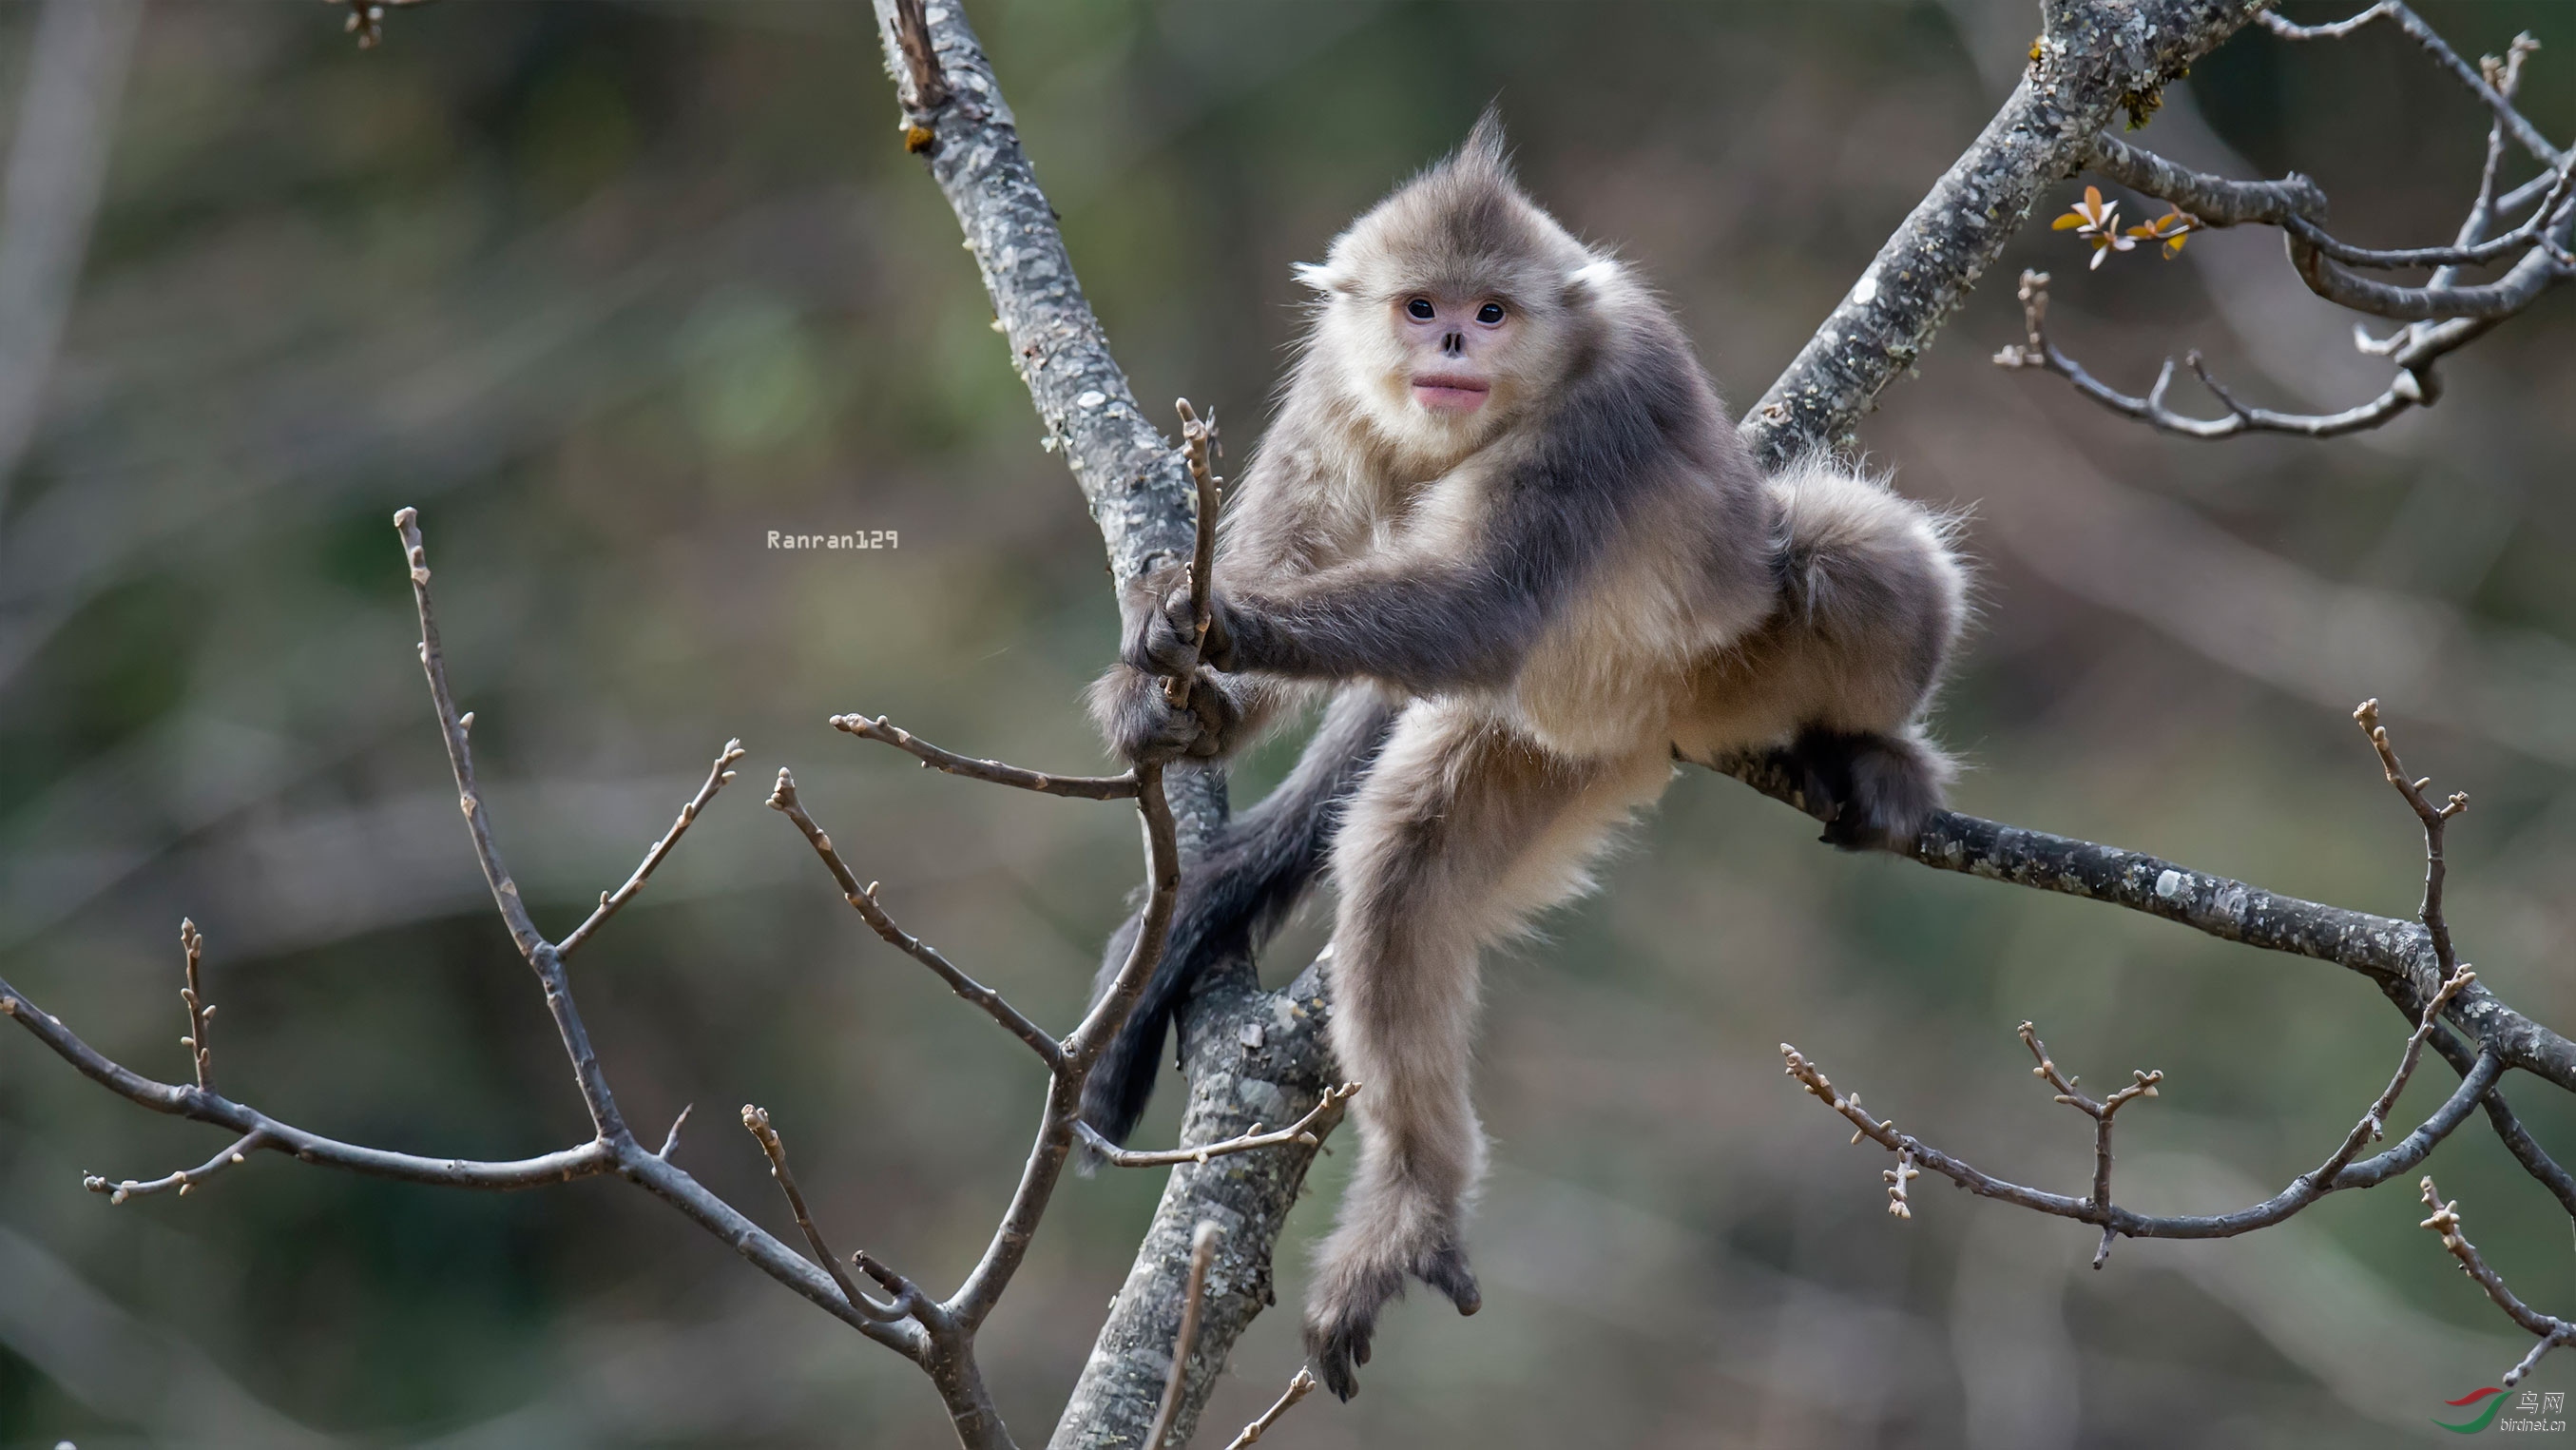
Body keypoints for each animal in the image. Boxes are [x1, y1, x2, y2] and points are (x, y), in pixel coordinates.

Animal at [1076, 107, 1957, 1401]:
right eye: (1419, 305)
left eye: (1491, 311)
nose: (1450, 339)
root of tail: (1669, 718)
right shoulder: (1335, 385)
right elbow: (1306, 550)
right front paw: (1170, 697)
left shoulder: (1605, 406)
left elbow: (1480, 610)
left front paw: (1216, 621)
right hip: (1536, 742)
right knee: (1406, 870)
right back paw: (1414, 1204)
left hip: (1741, 651)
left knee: (1847, 550)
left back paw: (1866, 745)